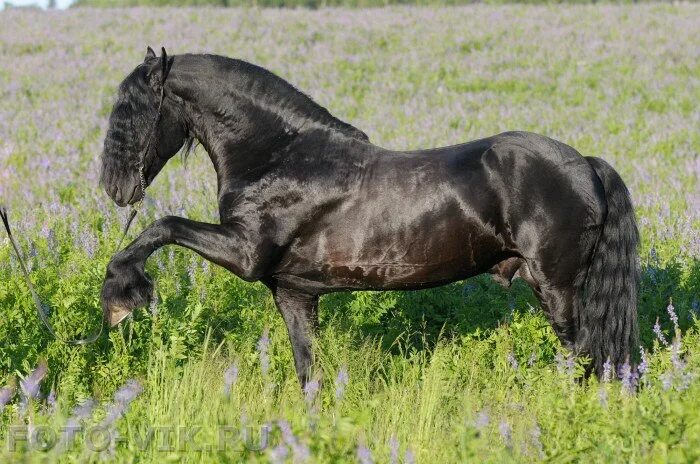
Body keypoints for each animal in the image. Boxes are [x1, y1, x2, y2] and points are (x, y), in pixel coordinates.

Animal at [100, 48, 640, 388]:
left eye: (133, 109)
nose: (115, 186)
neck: (280, 155)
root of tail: (585, 163)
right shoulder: (293, 292)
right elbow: (307, 370)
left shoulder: (245, 253)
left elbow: (164, 226)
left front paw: (121, 297)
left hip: (555, 286)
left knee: (585, 354)